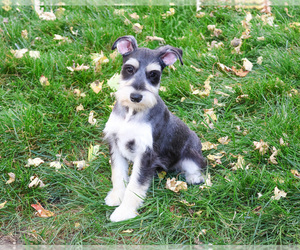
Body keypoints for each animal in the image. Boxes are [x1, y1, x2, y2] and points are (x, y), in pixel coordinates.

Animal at [103, 35, 206, 223]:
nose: (136, 96)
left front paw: (124, 212)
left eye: (153, 74)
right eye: (129, 69)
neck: (132, 113)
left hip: (191, 152)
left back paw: (194, 177)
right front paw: (116, 196)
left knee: (197, 165)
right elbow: (118, 174)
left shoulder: (146, 154)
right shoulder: (115, 144)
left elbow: (135, 185)